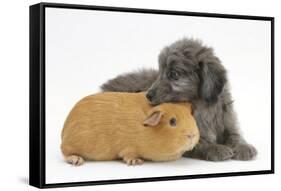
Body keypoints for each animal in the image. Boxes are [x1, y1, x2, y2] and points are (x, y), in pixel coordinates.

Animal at [100, 37, 256, 161]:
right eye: (160, 72)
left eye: (173, 74)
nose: (148, 95)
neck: (202, 106)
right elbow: (201, 144)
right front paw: (216, 149)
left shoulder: (227, 119)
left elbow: (235, 134)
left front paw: (243, 146)